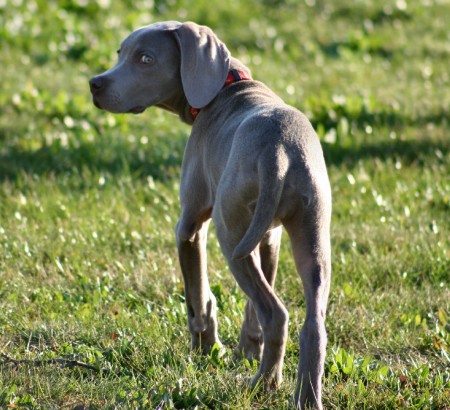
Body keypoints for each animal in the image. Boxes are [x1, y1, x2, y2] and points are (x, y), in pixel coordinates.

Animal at [89, 20, 332, 408]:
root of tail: (279, 153)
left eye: (145, 58)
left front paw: (204, 351)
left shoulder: (189, 225)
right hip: (311, 233)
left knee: (275, 313)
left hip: (229, 233)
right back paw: (303, 397)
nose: (95, 84)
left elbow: (197, 298)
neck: (227, 89)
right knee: (312, 323)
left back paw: (262, 384)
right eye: (120, 53)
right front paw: (245, 352)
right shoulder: (269, 236)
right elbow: (251, 309)